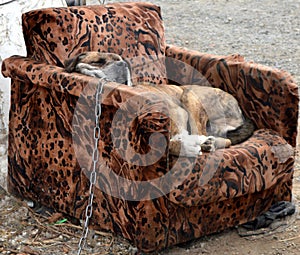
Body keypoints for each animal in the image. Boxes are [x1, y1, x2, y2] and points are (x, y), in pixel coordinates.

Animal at [64, 51, 254, 156]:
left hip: (189, 96)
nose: (123, 63)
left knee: (216, 138)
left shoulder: (178, 112)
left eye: (119, 59)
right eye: (97, 61)